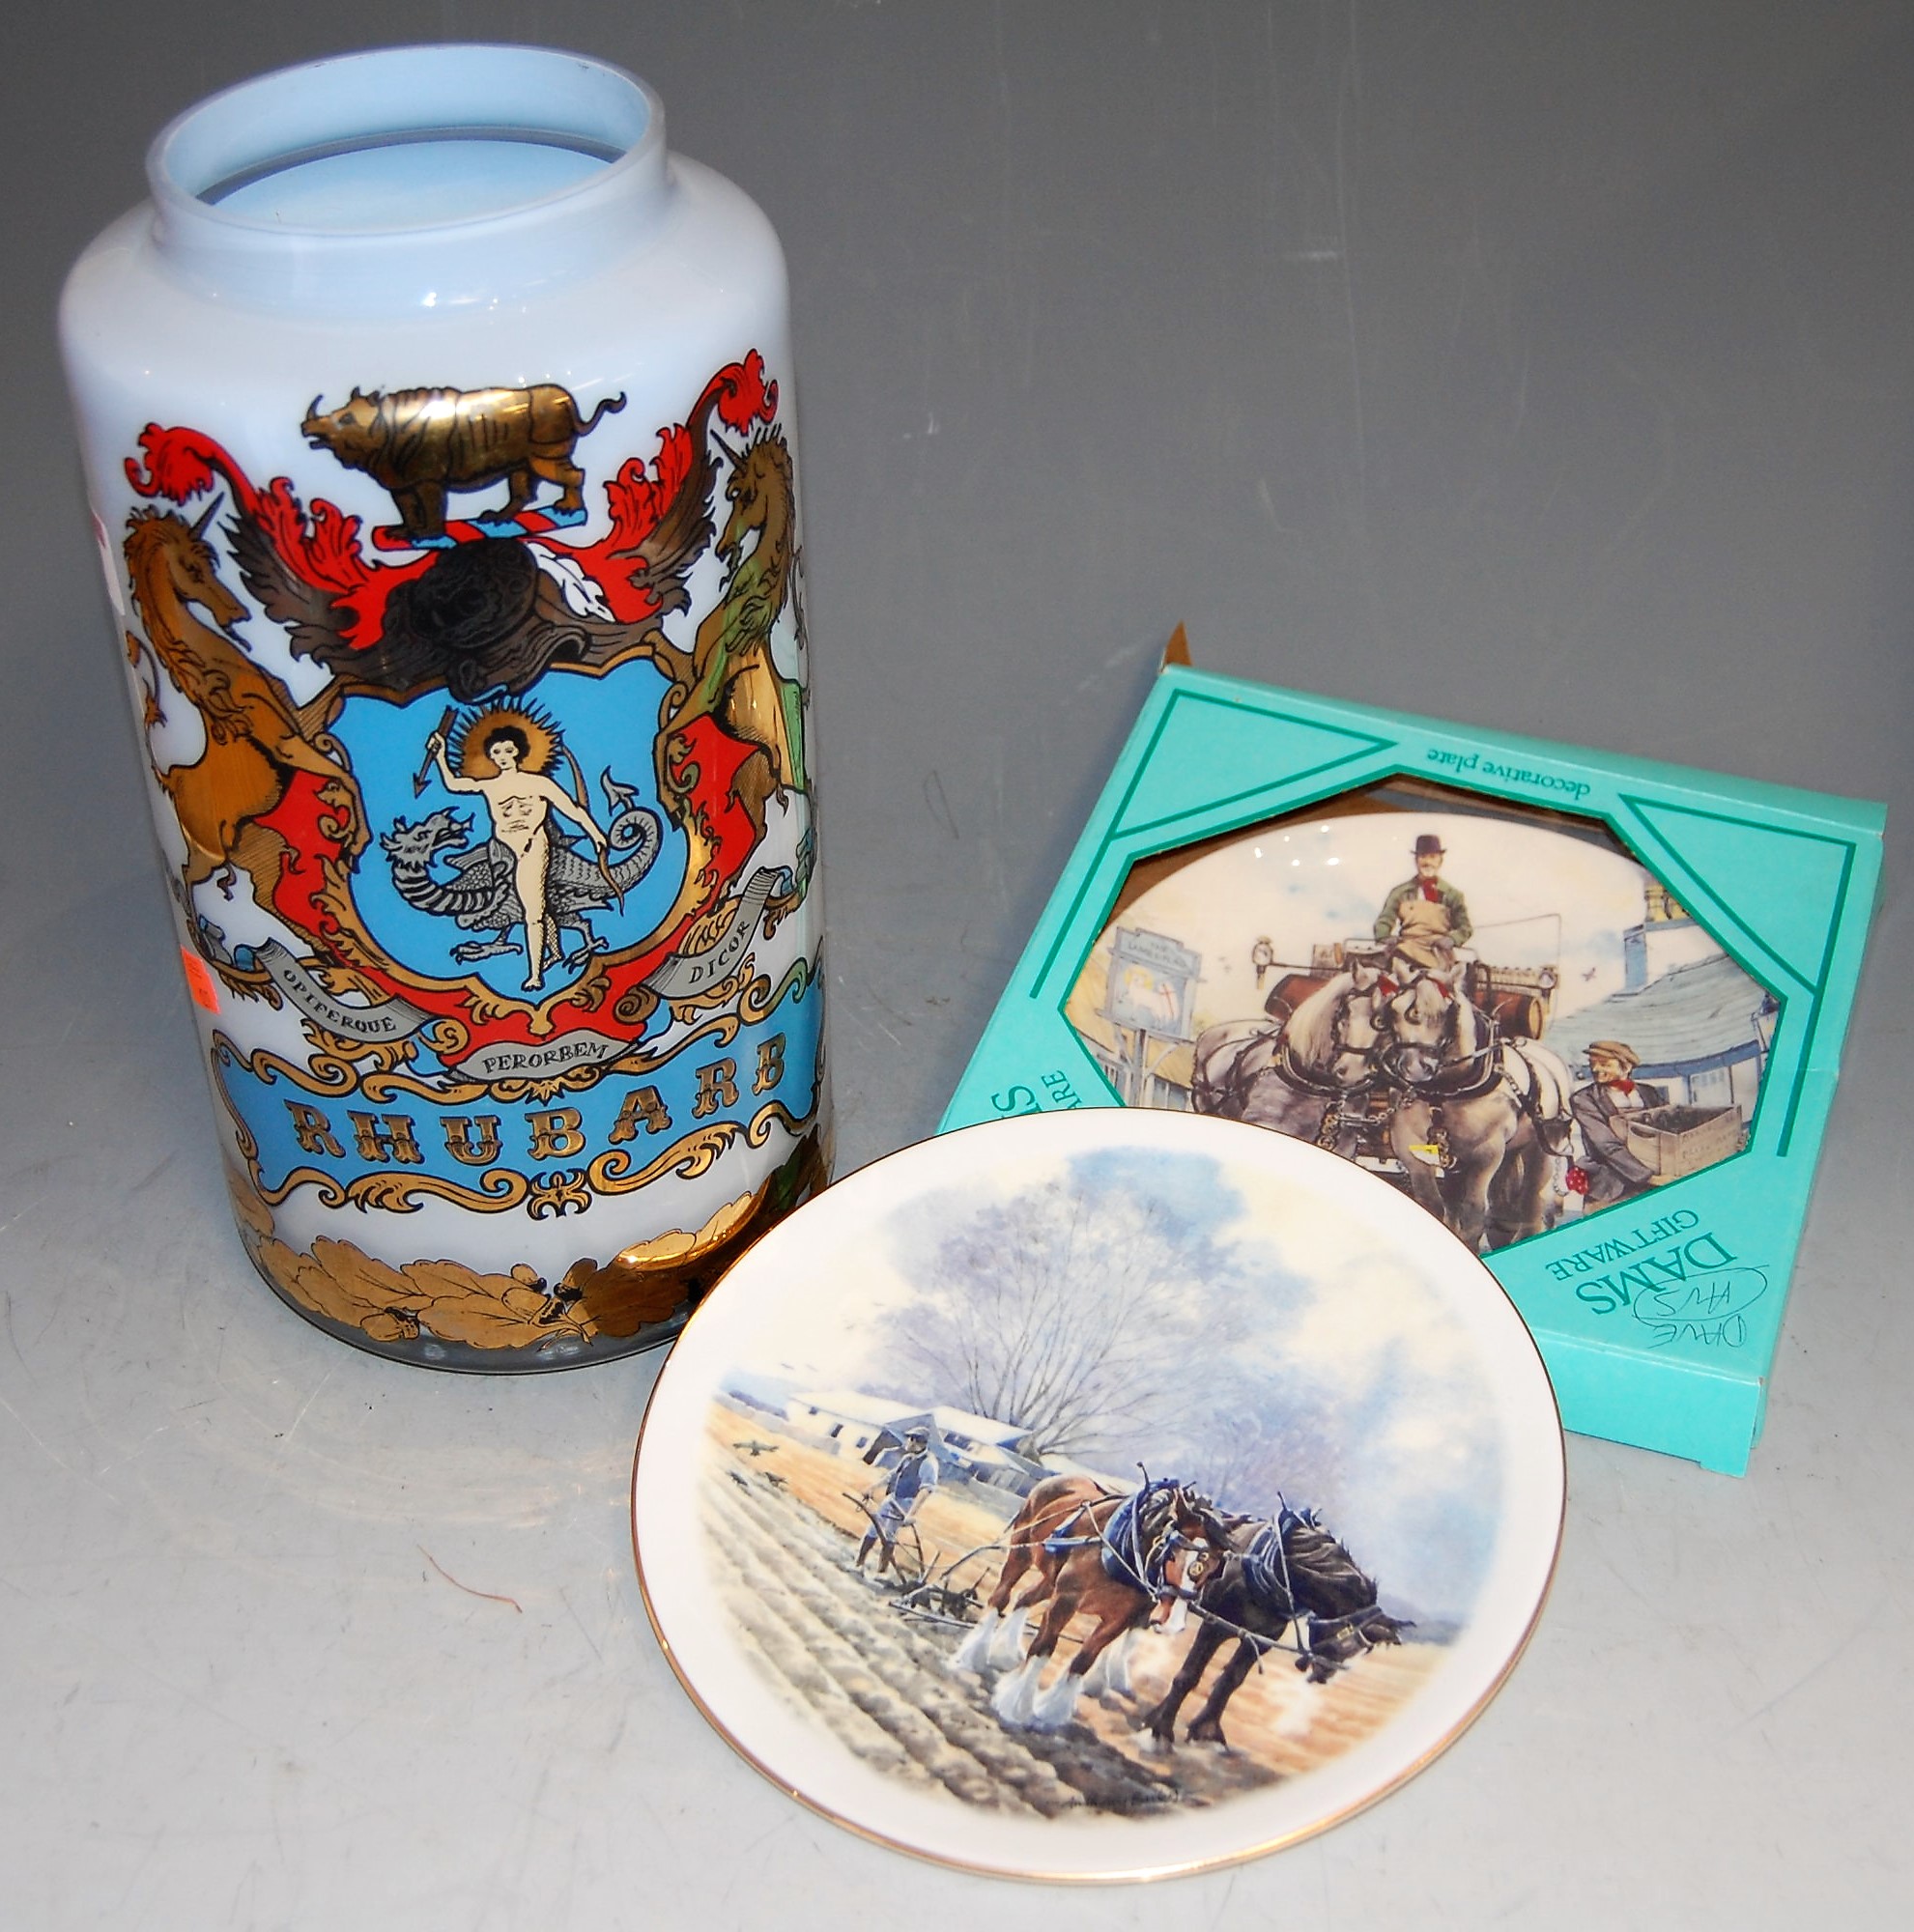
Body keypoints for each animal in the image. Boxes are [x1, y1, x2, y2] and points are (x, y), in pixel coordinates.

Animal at [125, 506, 363, 912]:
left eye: (210, 564)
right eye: (191, 569)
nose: (235, 611)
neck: (215, 667)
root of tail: (173, 779)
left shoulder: (304, 720)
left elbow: (342, 687)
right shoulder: (286, 742)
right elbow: (347, 778)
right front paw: (352, 836)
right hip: (209, 852)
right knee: (188, 876)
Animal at [947, 1476, 1229, 1739]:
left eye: (1215, 1567)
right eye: (1173, 1552)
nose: (1174, 1623)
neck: (1124, 1551)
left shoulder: (1119, 1619)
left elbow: (1084, 1660)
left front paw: (1051, 1710)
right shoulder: (1066, 1600)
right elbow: (1044, 1648)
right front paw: (1017, 1705)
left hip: (1051, 1578)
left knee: (1025, 1597)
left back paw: (1003, 1653)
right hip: (1022, 1550)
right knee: (1001, 1598)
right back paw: (973, 1655)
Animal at [1136, 1499, 1407, 1762]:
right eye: (1343, 1643)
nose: (1322, 1676)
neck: (1272, 1567)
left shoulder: (1262, 1638)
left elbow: (1230, 1681)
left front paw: (1206, 1733)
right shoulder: (1214, 1625)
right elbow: (1188, 1676)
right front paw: (1160, 1730)